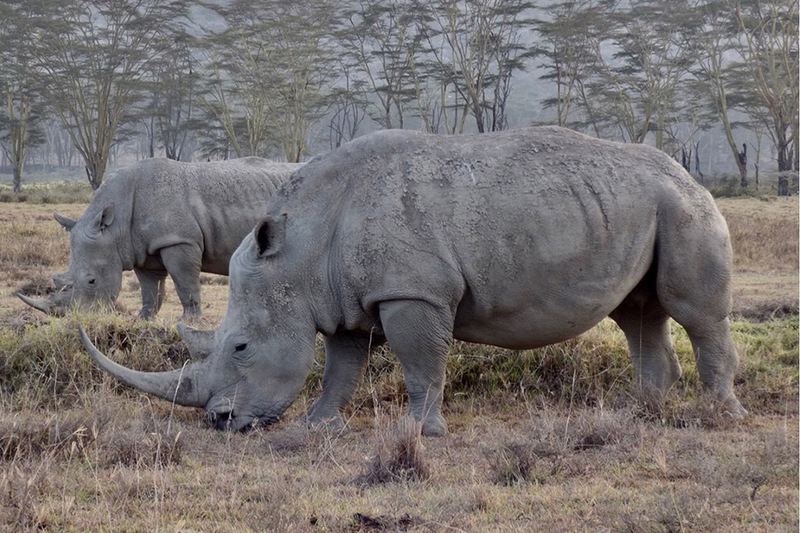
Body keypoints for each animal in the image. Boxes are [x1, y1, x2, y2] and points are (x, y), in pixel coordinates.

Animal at [19, 157, 303, 319]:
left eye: (91, 281)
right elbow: (150, 291)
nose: (75, 320)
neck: (115, 224)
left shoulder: (178, 240)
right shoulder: (140, 249)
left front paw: (189, 323)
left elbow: (186, 285)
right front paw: (143, 320)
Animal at [80, 127, 746, 435]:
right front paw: (320, 425)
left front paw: (419, 431)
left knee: (694, 312)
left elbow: (421, 363)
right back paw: (643, 413)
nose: (219, 423)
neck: (300, 251)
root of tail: (688, 172)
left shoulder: (412, 291)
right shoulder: (341, 298)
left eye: (240, 346)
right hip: (638, 206)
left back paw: (718, 414)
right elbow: (342, 366)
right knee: (637, 312)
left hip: (685, 206)